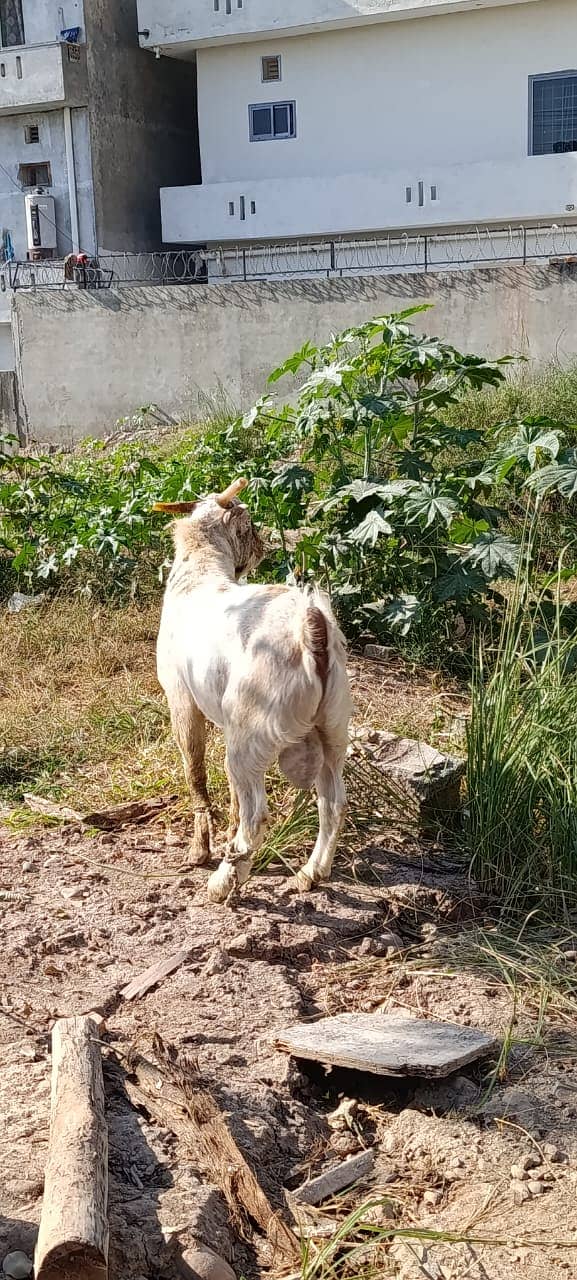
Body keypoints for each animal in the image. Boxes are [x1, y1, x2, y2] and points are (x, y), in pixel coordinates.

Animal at [154, 476, 353, 906]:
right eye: (249, 526)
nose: (263, 548)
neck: (200, 571)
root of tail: (311, 625)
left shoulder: (182, 700)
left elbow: (195, 770)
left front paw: (200, 850)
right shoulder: (225, 720)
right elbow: (229, 797)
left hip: (251, 732)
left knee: (257, 815)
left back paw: (224, 881)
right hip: (332, 729)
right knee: (333, 803)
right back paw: (310, 873)